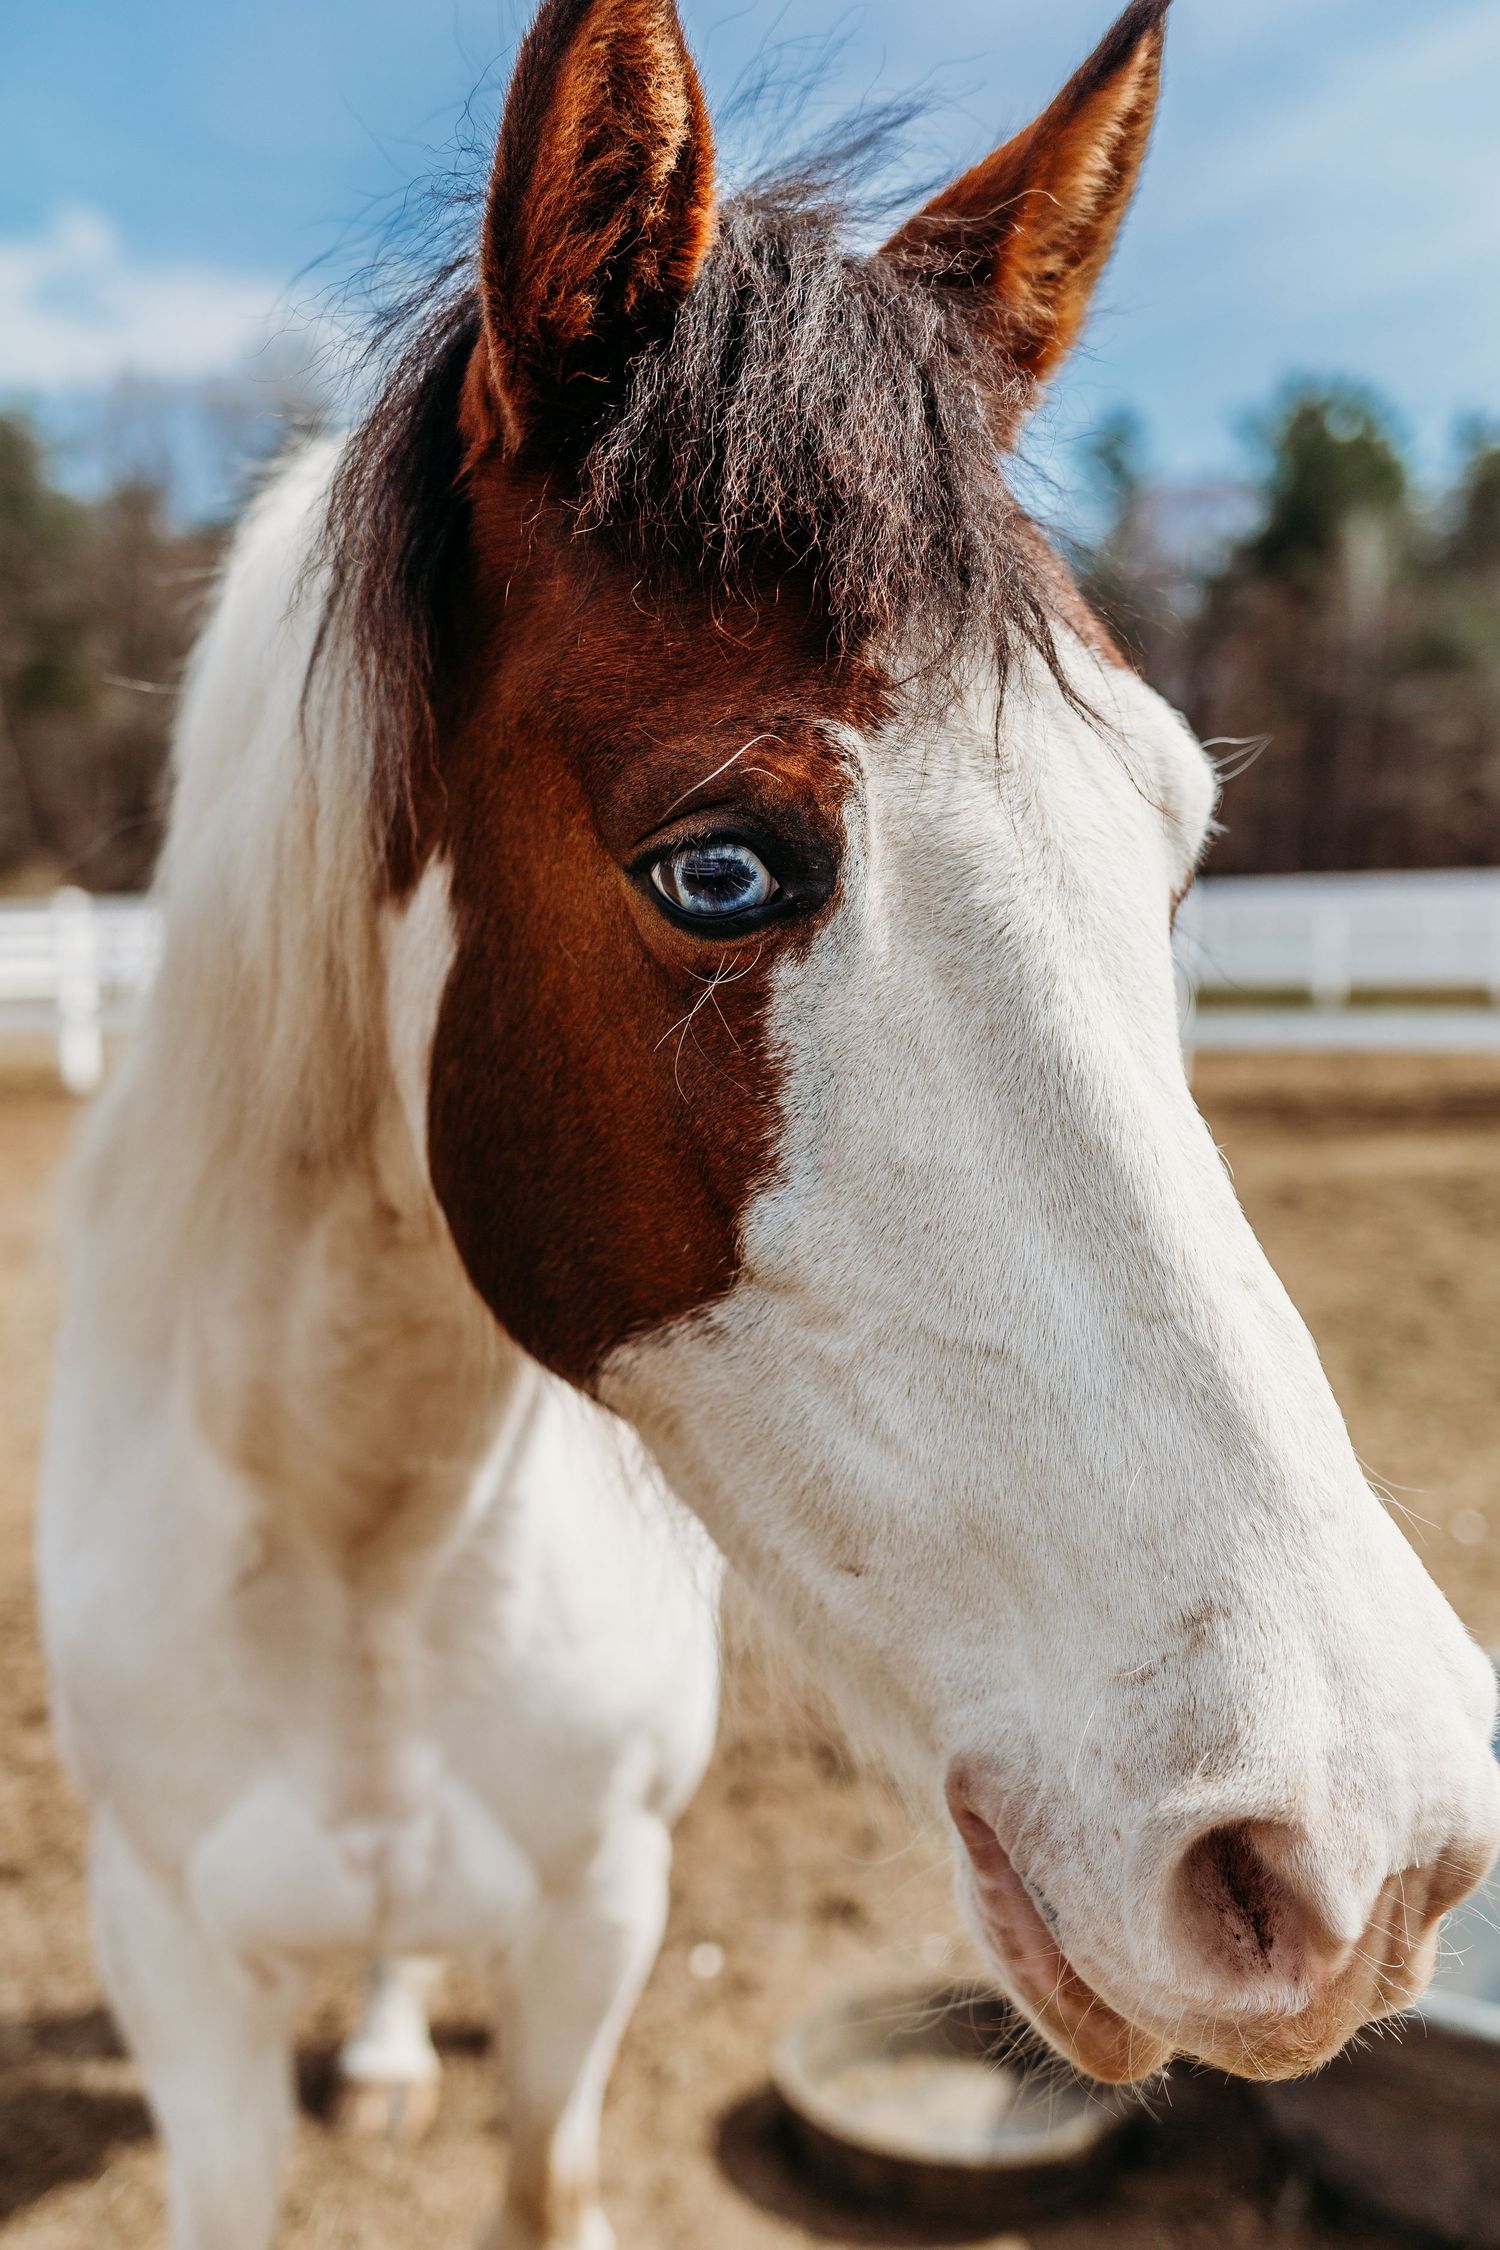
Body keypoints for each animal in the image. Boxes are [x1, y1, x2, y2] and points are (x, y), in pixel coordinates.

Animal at [39, 1, 1500, 2245]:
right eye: (719, 870)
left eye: (1178, 850)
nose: (1363, 1846)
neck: (363, 1534)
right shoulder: (178, 1982)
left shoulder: (598, 1930)